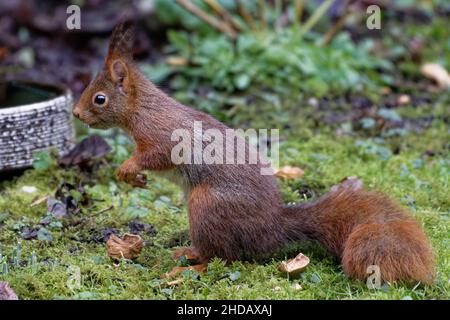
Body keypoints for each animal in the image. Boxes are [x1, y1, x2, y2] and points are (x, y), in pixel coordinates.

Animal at [74, 23, 436, 282]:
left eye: (100, 99)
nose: (76, 114)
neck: (141, 109)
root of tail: (272, 228)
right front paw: (134, 179)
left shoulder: (163, 136)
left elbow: (156, 156)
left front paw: (127, 168)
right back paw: (186, 254)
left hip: (205, 205)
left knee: (223, 257)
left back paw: (190, 266)